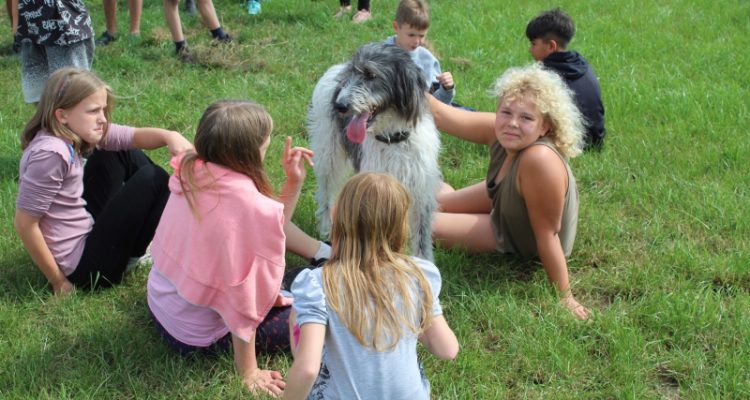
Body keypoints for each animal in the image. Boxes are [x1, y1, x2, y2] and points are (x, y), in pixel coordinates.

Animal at [308, 42, 441, 261]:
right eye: (353, 73)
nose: (339, 105)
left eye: (371, 74)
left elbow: (421, 240)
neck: (393, 140)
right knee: (325, 192)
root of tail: (336, 68)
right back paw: (326, 228)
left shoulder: (421, 194)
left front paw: (424, 264)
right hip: (327, 153)